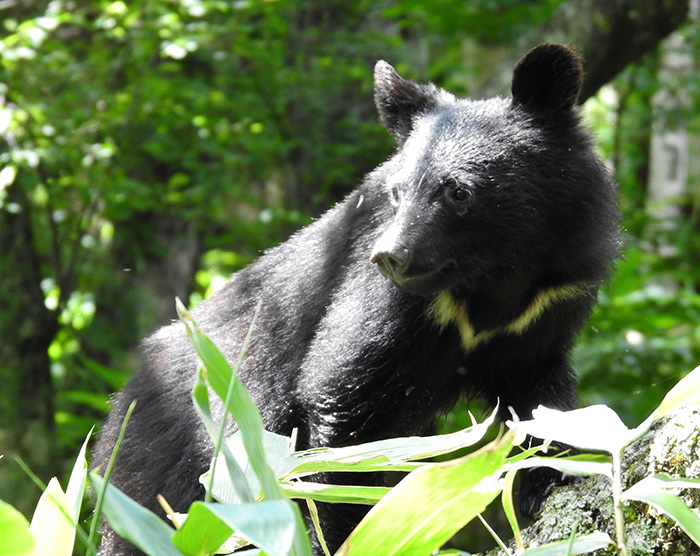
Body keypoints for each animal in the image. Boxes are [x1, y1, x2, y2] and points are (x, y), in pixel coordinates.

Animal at [94, 44, 616, 556]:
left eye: (458, 191)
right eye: (397, 193)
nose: (389, 256)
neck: (492, 280)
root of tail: (124, 398)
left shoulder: (549, 305)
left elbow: (540, 399)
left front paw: (547, 482)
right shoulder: (388, 301)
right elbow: (343, 401)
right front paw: (352, 533)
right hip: (171, 458)